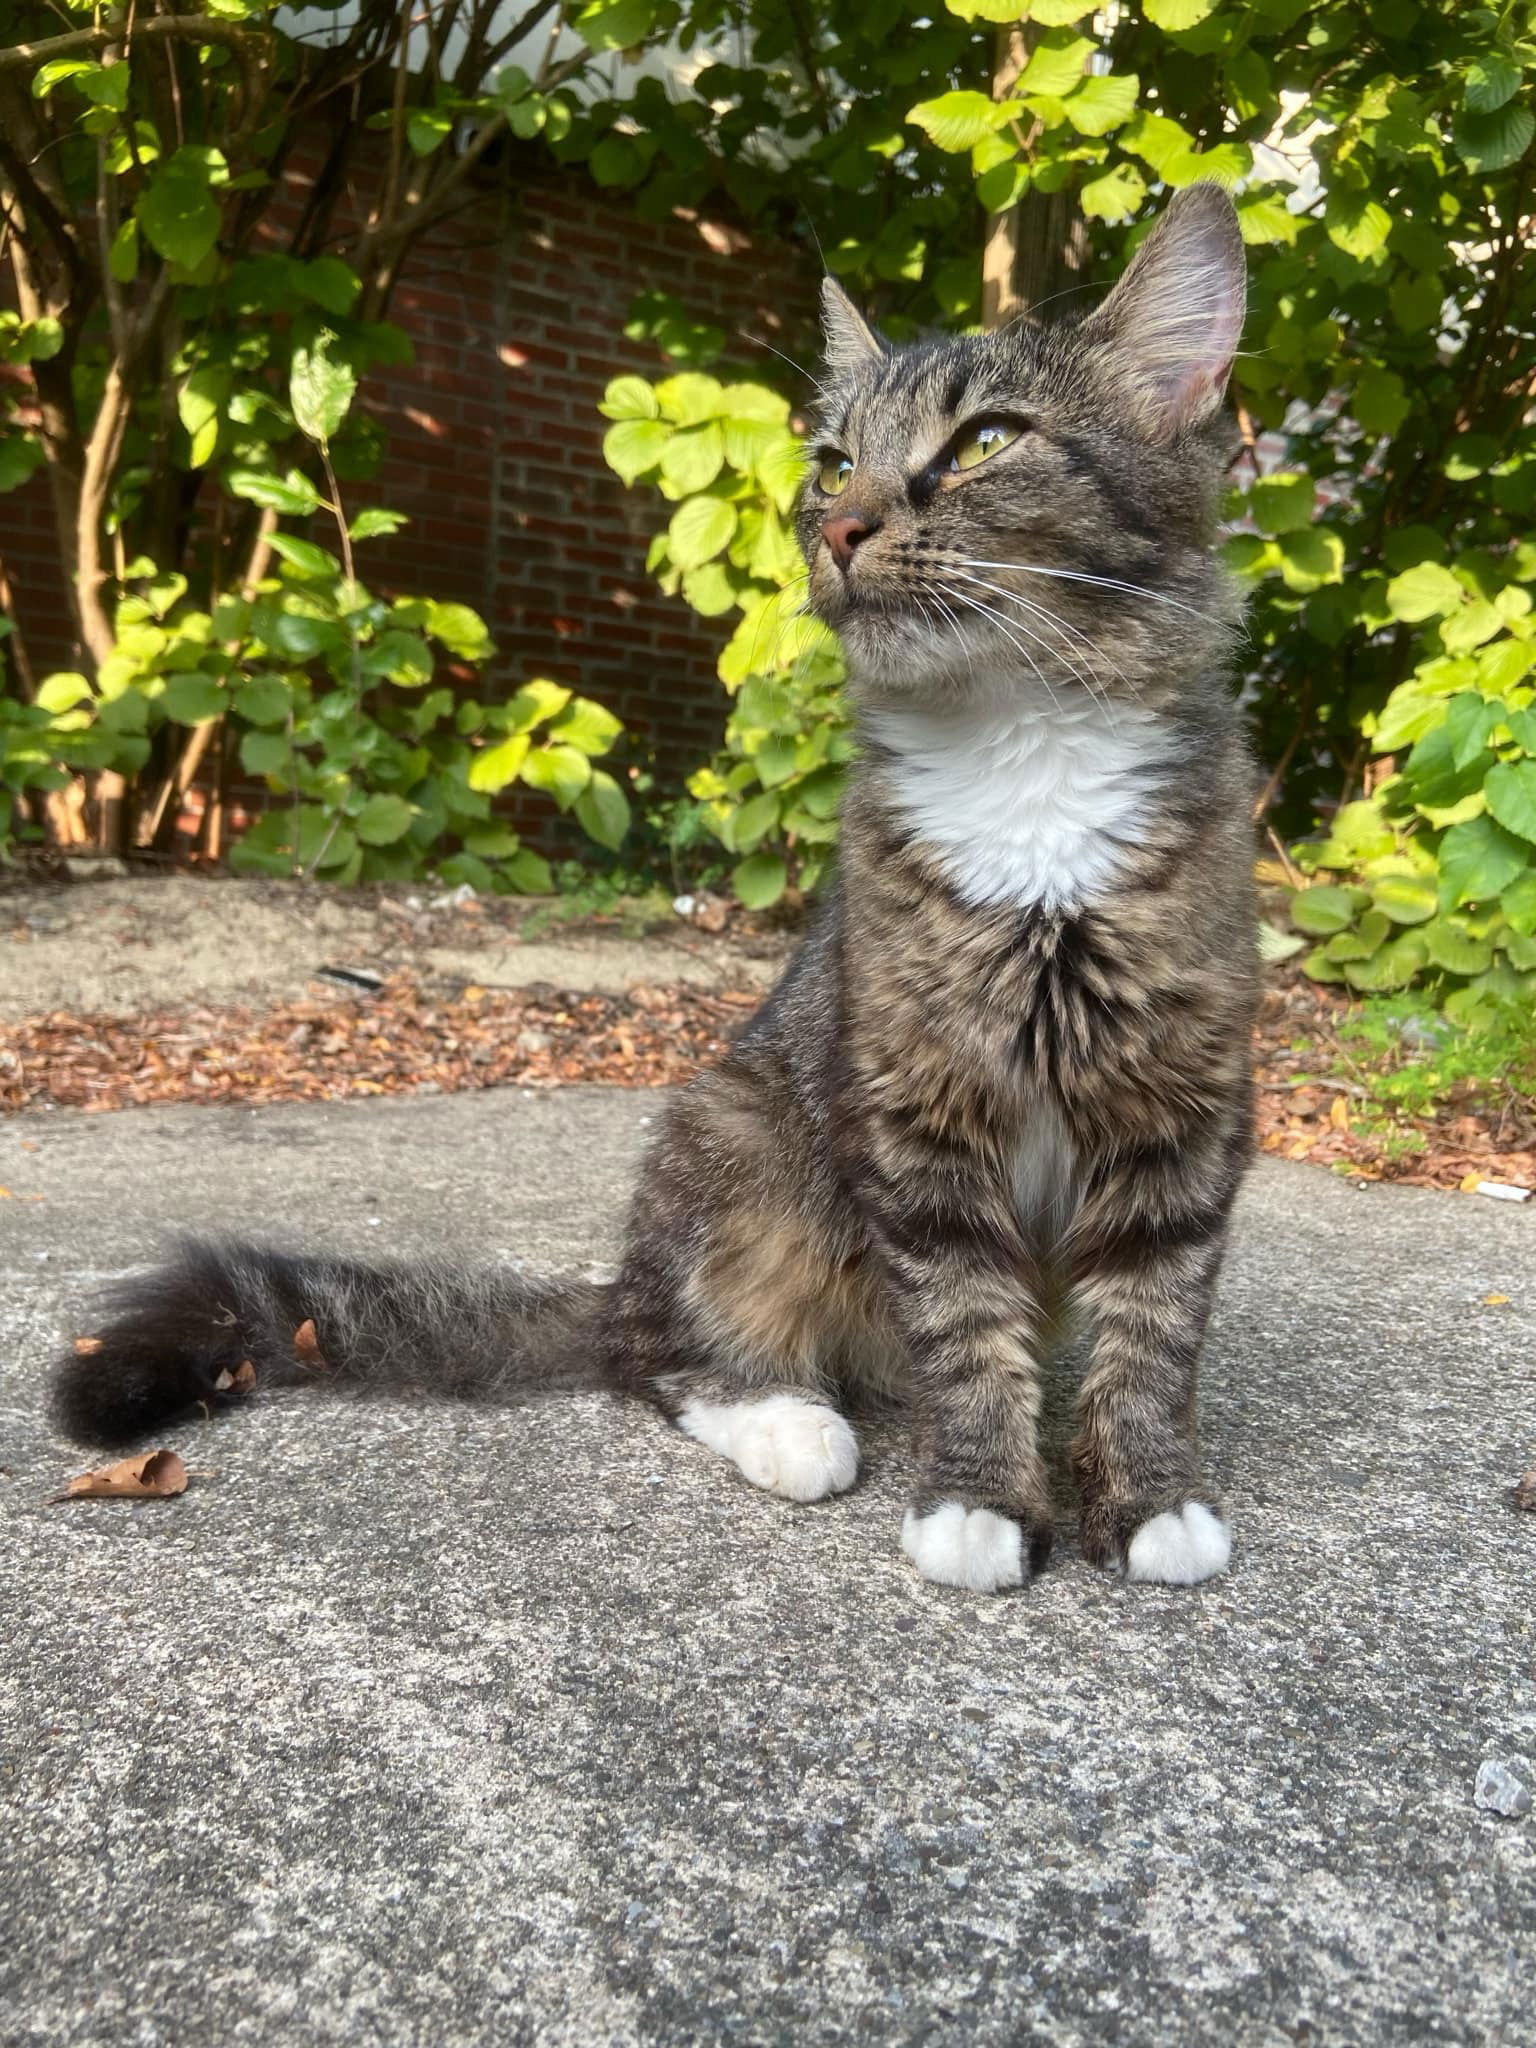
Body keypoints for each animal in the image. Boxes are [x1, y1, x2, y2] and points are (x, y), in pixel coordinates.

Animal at [54, 184, 1253, 1597]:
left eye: (988, 440)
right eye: (831, 462)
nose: (840, 526)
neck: (1023, 762)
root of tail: (624, 1271)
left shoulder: (1184, 1105)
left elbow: (1152, 1327)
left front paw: (1150, 1497)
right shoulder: (914, 1114)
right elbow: (964, 1327)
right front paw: (979, 1500)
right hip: (741, 1140)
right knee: (660, 1354)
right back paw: (794, 1421)